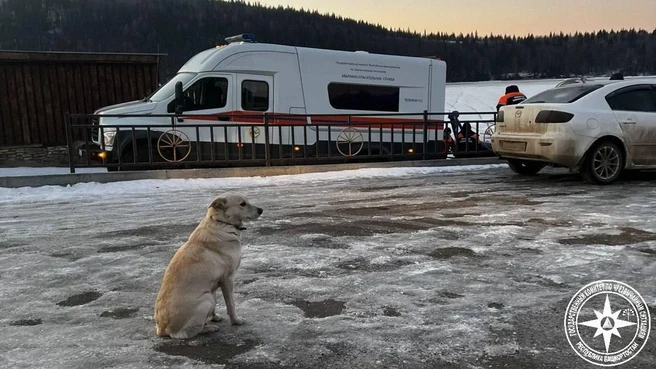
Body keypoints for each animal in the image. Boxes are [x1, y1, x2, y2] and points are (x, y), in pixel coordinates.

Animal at [155, 193, 262, 340]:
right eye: (242, 204)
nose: (261, 210)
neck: (221, 223)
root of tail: (162, 329)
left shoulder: (214, 284)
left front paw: (214, 317)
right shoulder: (228, 279)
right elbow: (231, 305)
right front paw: (235, 321)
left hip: (209, 296)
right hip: (206, 300)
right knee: (186, 333)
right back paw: (209, 328)